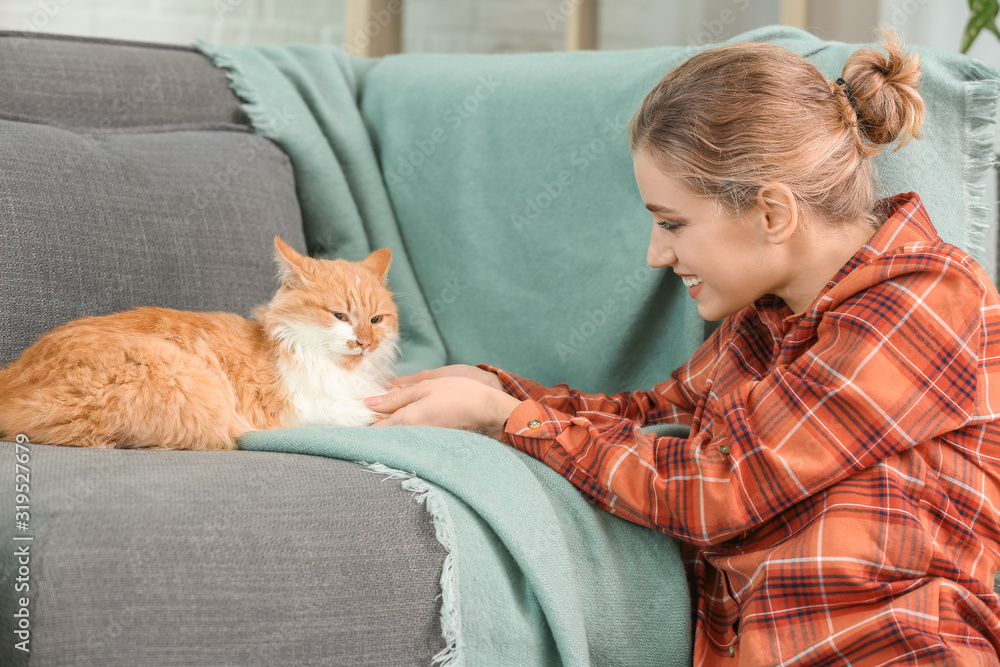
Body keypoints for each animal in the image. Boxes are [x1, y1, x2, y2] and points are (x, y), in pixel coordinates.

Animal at [0, 237, 398, 452]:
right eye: (339, 316)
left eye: (376, 320)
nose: (364, 343)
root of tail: (10, 382)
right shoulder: (293, 407)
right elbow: (347, 410)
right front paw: (370, 413)